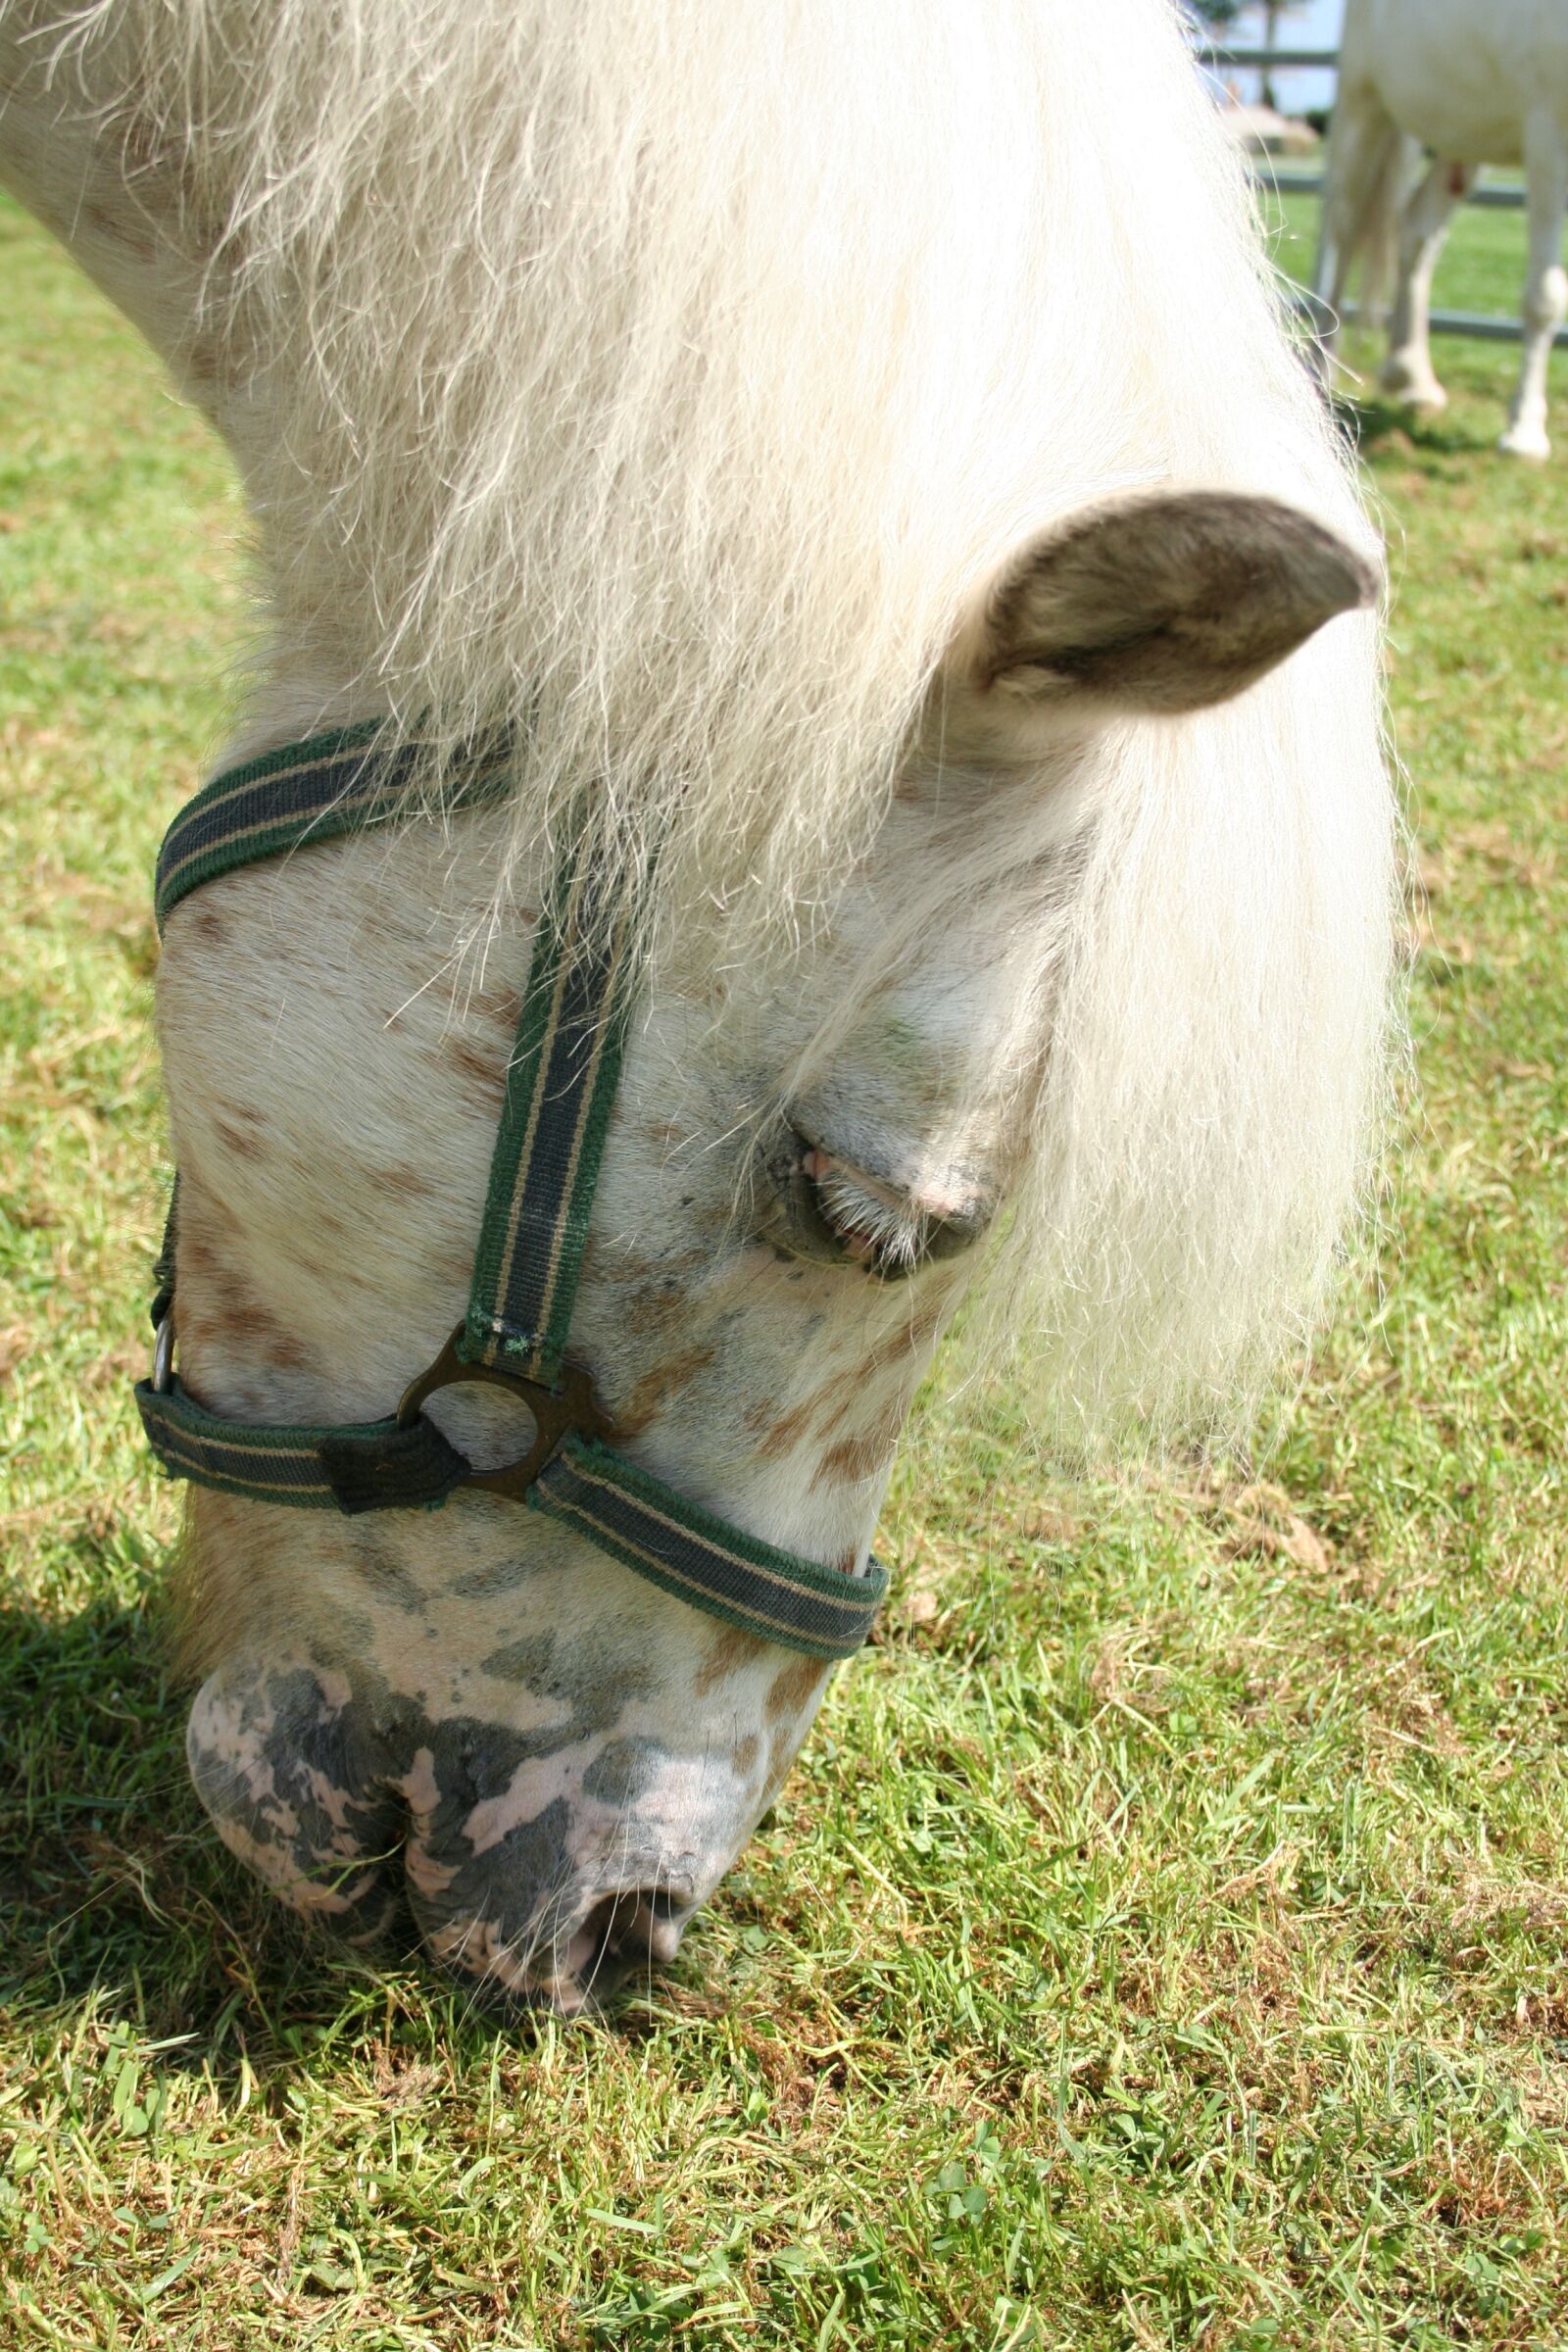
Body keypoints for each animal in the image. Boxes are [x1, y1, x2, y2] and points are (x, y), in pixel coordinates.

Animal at [1314, 0, 1568, 458]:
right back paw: (1322, 372)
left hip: (1461, 138)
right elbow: (1544, 297)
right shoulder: (1549, 136)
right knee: (1343, 232)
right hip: (1363, 107)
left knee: (1416, 228)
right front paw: (1524, 433)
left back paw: (1411, 377)